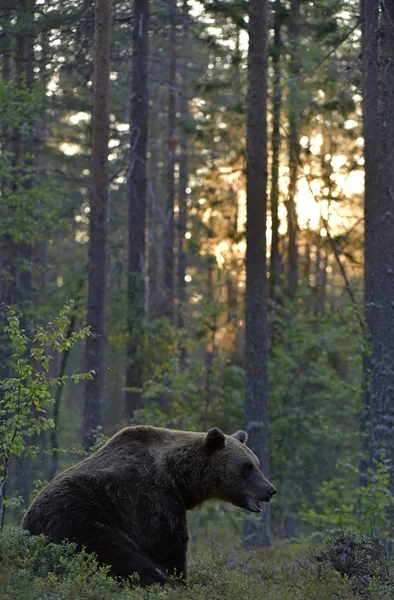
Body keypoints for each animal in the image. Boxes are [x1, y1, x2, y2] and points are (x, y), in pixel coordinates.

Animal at [20, 426, 276, 584]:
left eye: (256, 462)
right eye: (246, 467)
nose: (270, 489)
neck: (178, 478)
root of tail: (26, 527)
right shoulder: (151, 499)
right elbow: (167, 544)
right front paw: (179, 579)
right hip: (78, 517)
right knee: (120, 555)